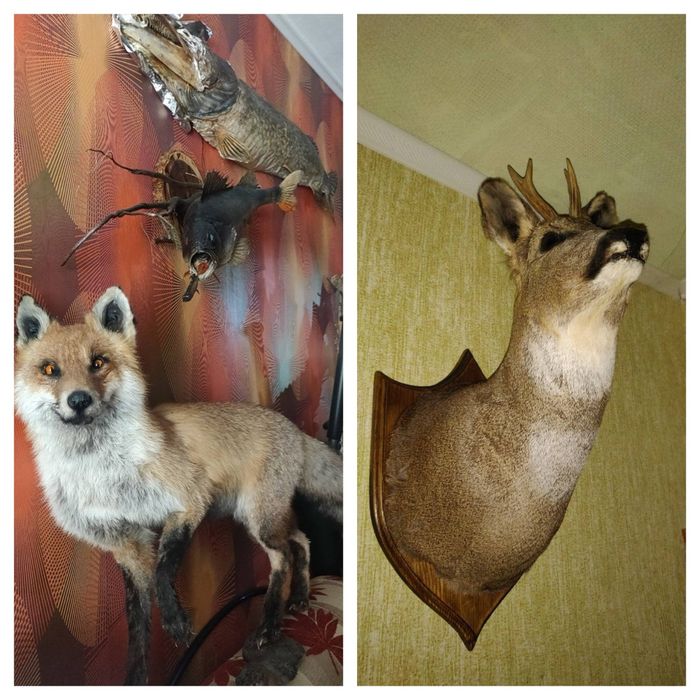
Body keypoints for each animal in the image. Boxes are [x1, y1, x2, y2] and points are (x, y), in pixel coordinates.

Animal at [14, 286, 343, 685]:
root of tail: (293, 428)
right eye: (50, 369)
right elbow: (137, 628)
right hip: (262, 516)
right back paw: (300, 596)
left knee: (283, 556)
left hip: (257, 518)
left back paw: (270, 624)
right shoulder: (124, 543)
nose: (78, 400)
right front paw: (137, 677)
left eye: (98, 362)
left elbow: (163, 570)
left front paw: (176, 622)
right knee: (300, 540)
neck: (104, 476)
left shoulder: (189, 502)